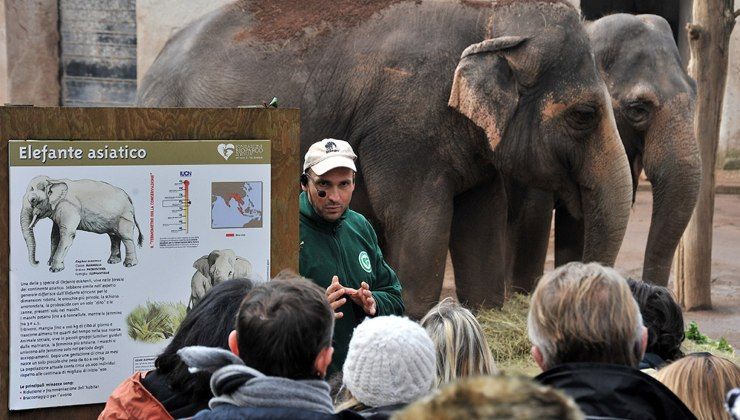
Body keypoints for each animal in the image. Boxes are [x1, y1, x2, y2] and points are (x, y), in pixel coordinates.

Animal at [139, 0, 632, 316]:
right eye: (584, 115)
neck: (491, 17)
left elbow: (482, 220)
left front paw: (486, 314)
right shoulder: (405, 125)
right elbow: (420, 220)